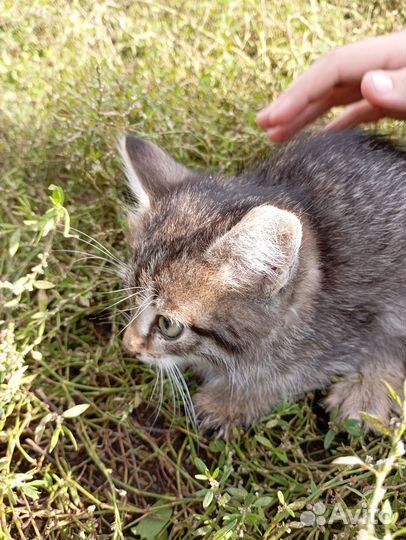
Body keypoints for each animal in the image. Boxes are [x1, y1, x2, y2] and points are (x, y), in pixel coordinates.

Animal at [119, 132, 404, 438]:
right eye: (130, 296)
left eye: (169, 325)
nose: (129, 346)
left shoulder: (348, 330)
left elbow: (293, 374)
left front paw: (229, 402)